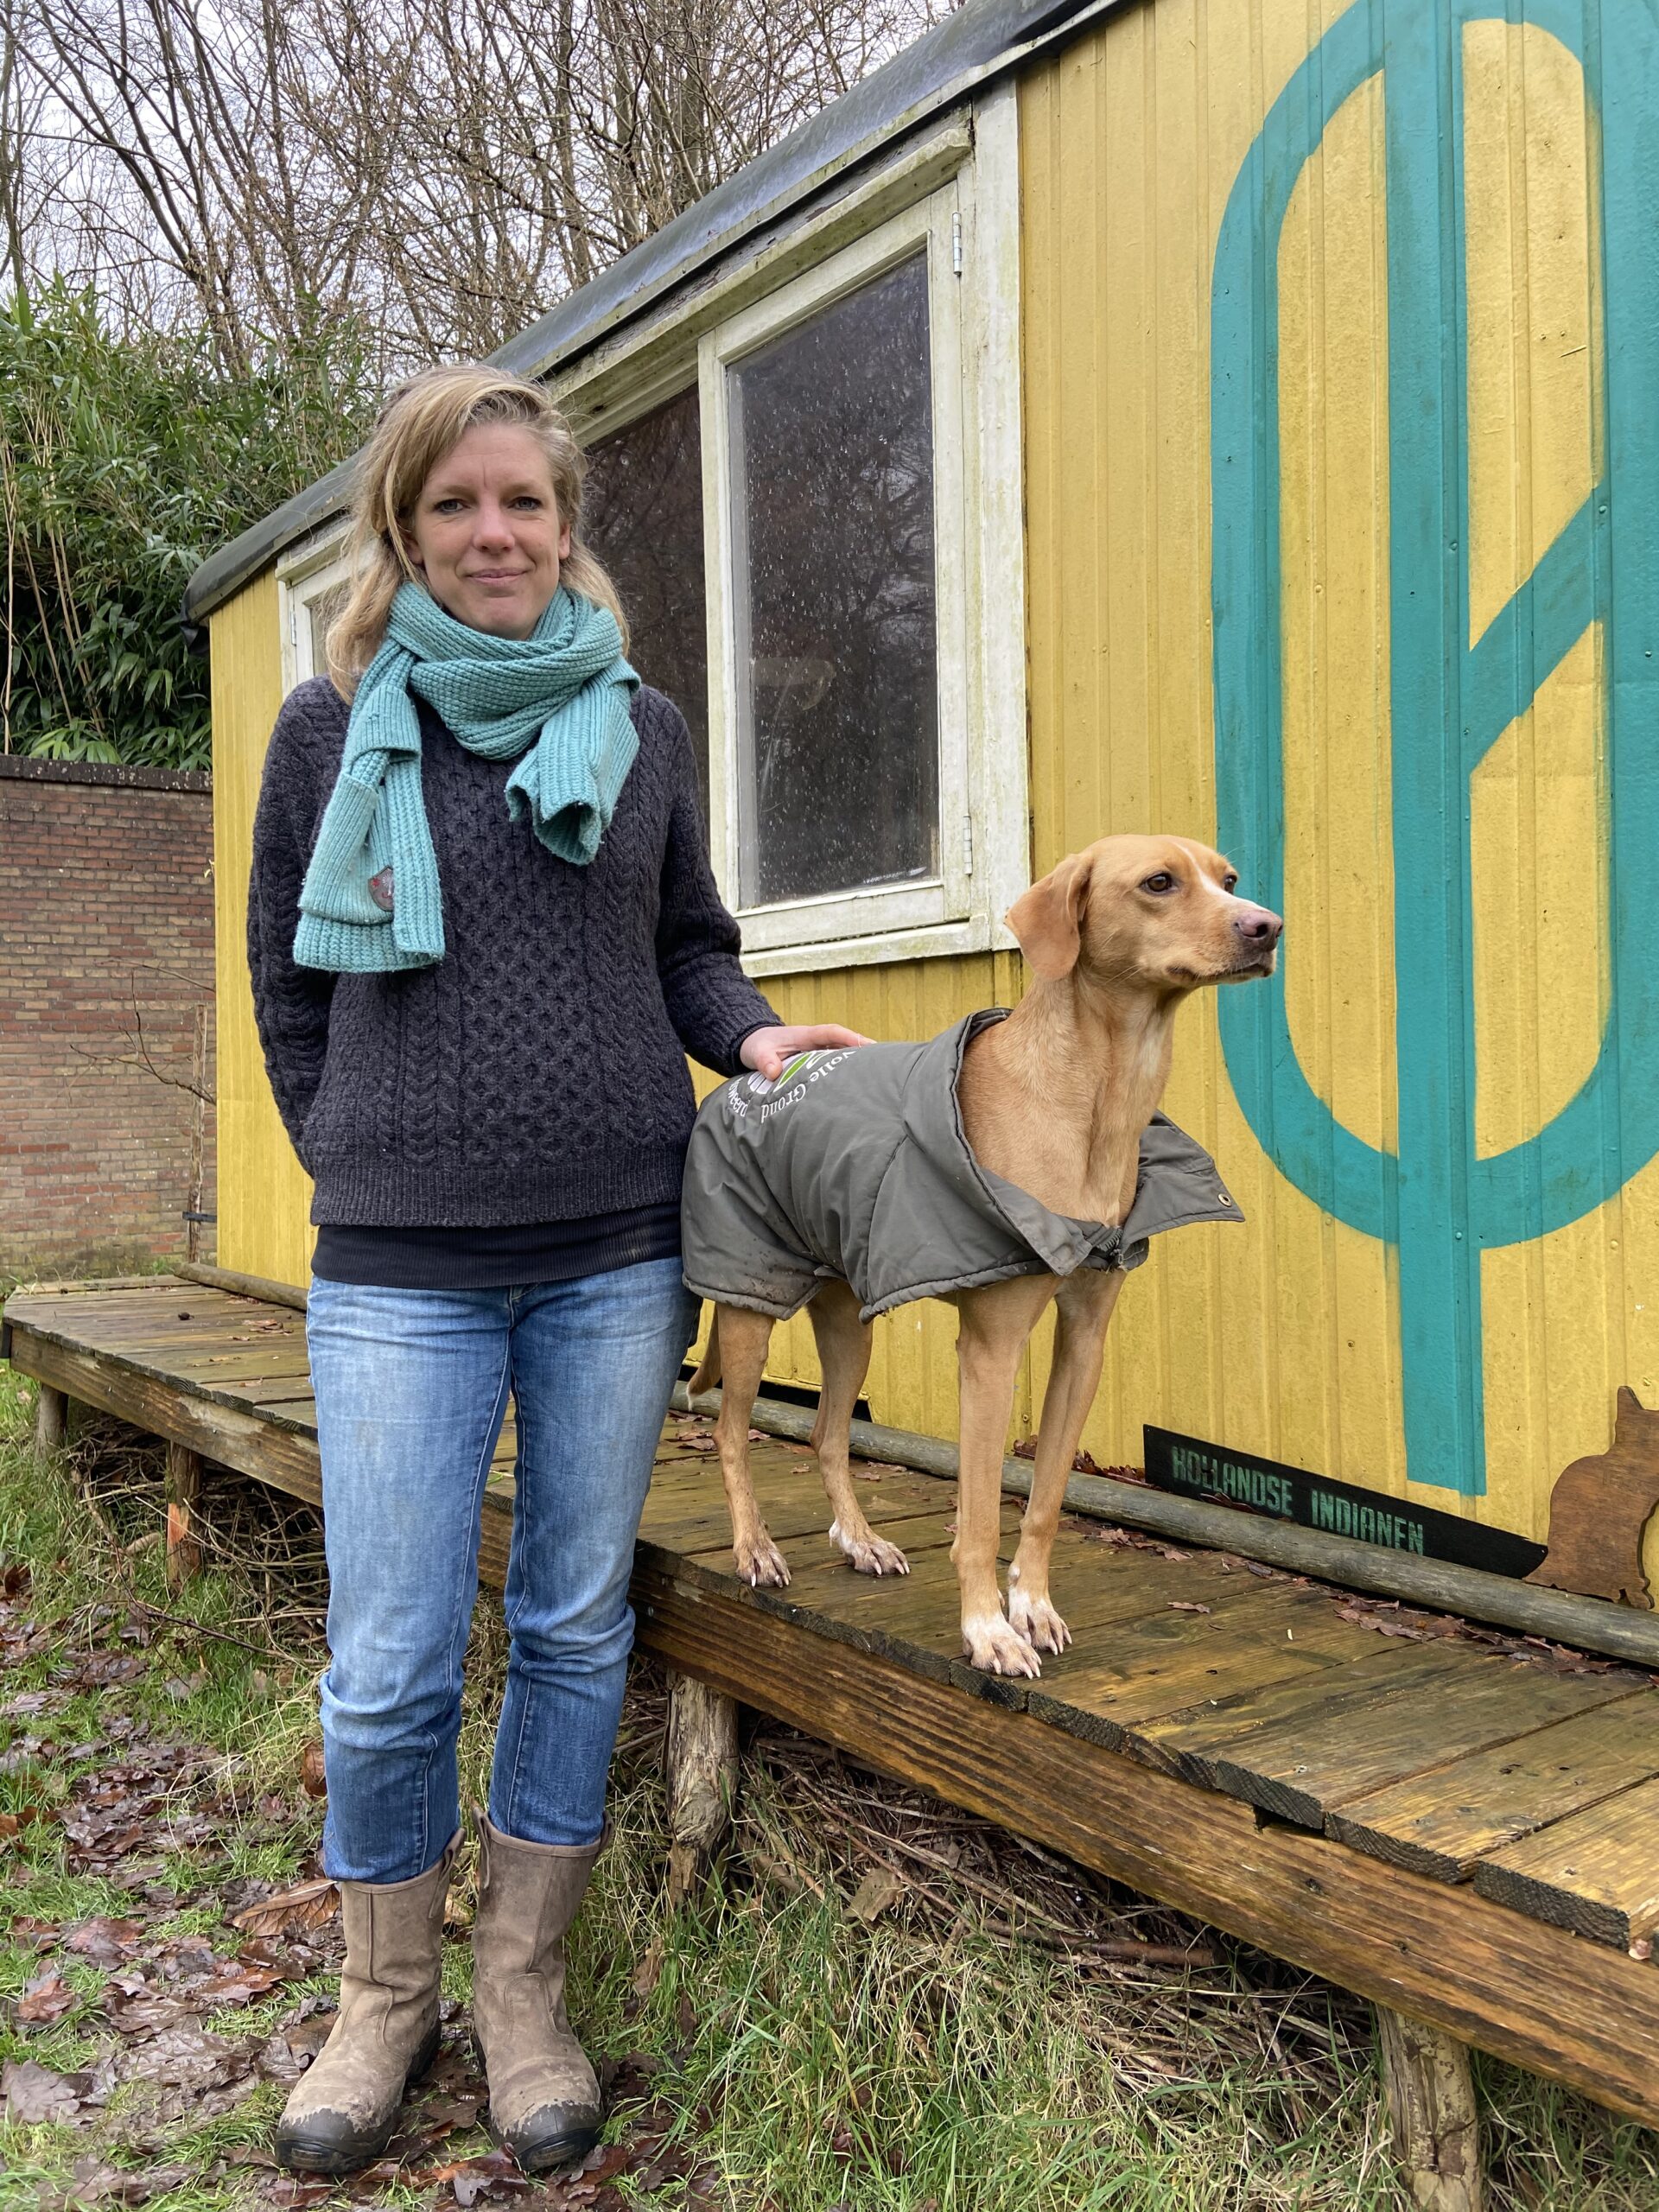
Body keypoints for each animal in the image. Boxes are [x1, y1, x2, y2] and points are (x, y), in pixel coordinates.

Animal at [681, 835, 1282, 1676]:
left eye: (1228, 879)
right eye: (1159, 883)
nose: (1267, 926)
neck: (1095, 1099)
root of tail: (738, 1083)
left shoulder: (1084, 1342)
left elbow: (1045, 1498)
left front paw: (1031, 1604)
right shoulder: (992, 1349)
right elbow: (978, 1512)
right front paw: (987, 1628)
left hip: (849, 1322)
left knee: (829, 1435)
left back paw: (860, 1540)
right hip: (748, 1313)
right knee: (731, 1435)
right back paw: (756, 1549)